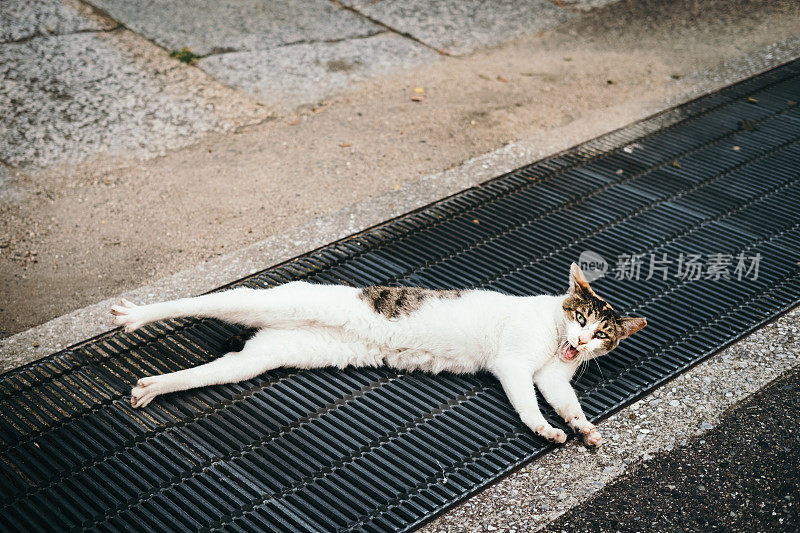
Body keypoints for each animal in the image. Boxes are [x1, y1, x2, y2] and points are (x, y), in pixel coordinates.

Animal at [111, 262, 644, 444]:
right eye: (580, 317)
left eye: (603, 333)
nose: (582, 343)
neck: (555, 343)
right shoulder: (513, 366)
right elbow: (529, 405)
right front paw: (546, 429)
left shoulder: (553, 378)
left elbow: (566, 402)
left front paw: (582, 427)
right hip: (265, 302)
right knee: (198, 303)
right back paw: (134, 316)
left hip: (261, 357)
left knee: (207, 372)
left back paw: (152, 387)